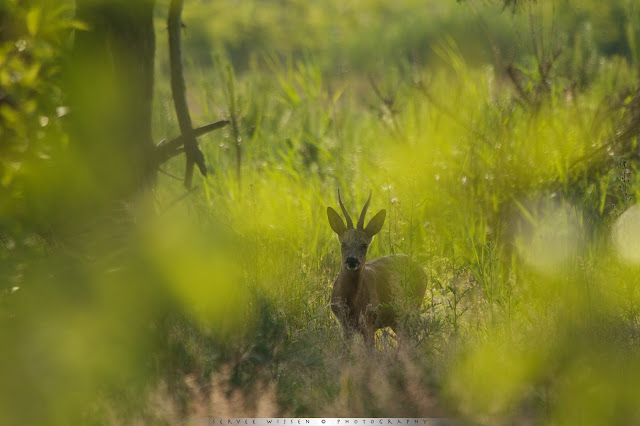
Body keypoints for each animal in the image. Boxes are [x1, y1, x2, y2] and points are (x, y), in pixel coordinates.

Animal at [328, 191, 428, 346]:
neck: (352, 302)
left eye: (365, 245)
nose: (352, 260)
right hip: (397, 320)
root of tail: (423, 270)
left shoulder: (370, 323)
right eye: (343, 243)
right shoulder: (344, 325)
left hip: (412, 308)